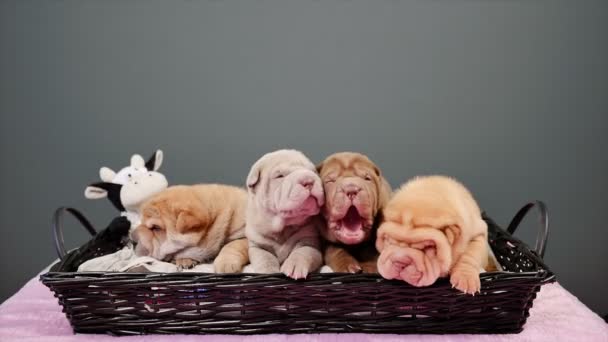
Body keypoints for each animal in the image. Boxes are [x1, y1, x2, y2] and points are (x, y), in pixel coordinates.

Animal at [245, 149, 326, 278]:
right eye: (280, 176)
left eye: (313, 172)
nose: (308, 180)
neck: (283, 227)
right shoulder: (257, 245)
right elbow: (265, 258)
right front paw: (269, 272)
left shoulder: (309, 240)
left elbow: (303, 251)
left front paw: (294, 267)